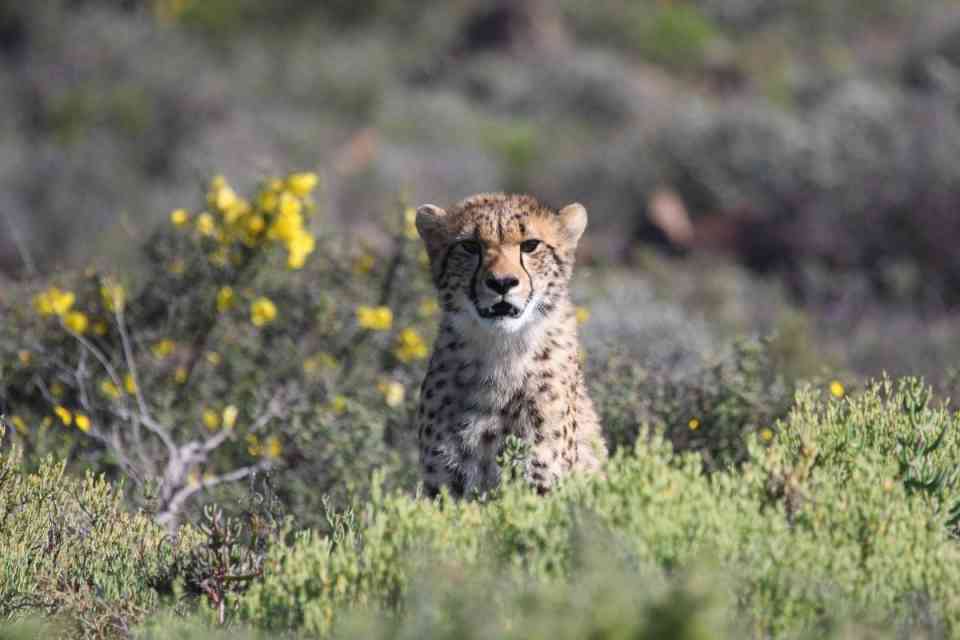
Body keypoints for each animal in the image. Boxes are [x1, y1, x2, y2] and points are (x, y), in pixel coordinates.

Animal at [414, 192, 607, 498]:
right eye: (470, 246)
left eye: (530, 245)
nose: (502, 282)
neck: (502, 353)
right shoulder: (443, 482)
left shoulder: (539, 477)